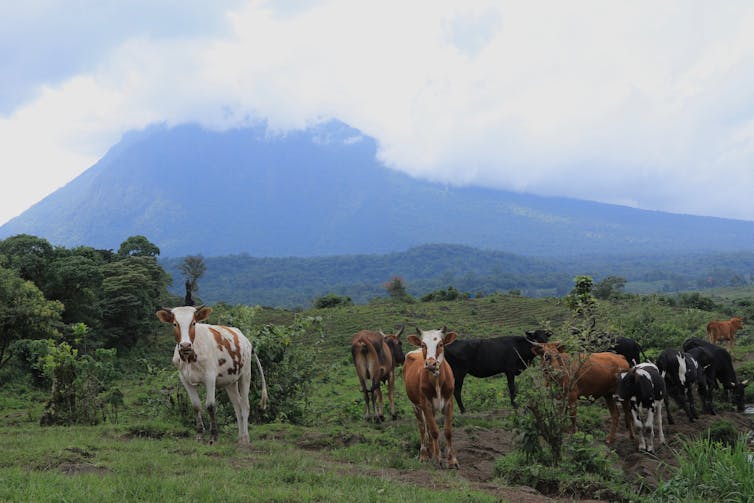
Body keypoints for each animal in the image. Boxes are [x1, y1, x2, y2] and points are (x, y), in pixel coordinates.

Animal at [155, 306, 268, 446]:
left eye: (193, 323)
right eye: (175, 324)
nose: (185, 345)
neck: (190, 358)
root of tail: (245, 339)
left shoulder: (210, 377)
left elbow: (210, 406)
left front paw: (213, 436)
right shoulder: (185, 379)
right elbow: (196, 406)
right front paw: (199, 435)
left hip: (246, 374)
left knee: (245, 406)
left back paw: (245, 439)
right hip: (230, 381)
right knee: (237, 407)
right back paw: (240, 437)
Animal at [402, 326, 456, 468]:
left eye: (440, 344)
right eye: (423, 344)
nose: (431, 364)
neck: (437, 381)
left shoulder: (449, 402)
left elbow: (447, 431)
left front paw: (452, 460)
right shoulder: (425, 404)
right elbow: (434, 431)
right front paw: (438, 459)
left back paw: (431, 451)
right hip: (416, 406)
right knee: (422, 428)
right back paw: (424, 455)